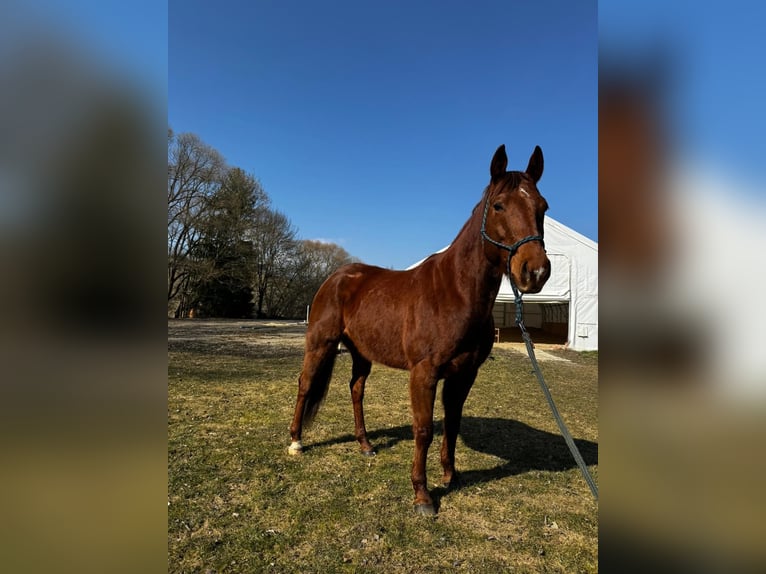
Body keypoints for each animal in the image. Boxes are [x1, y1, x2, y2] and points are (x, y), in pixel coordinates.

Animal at [288, 144, 551, 515]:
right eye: (499, 205)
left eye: (542, 207)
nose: (535, 272)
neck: (455, 292)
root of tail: (336, 277)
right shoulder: (424, 373)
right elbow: (424, 429)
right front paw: (422, 495)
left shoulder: (464, 374)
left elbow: (452, 423)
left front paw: (450, 476)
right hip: (320, 344)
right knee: (306, 384)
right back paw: (296, 441)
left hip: (362, 353)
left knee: (356, 389)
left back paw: (365, 445)